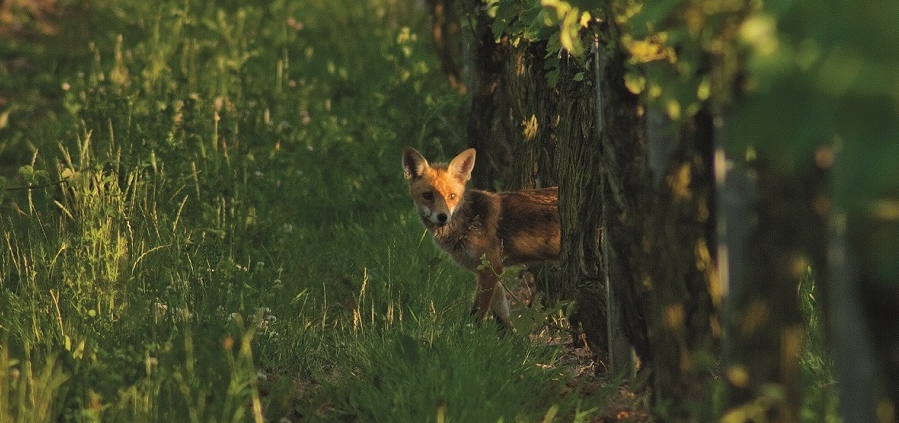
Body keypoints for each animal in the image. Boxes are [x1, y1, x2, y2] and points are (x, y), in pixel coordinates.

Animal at [402, 147, 560, 330]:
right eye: (427, 195)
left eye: (452, 196)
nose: (442, 217)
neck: (467, 222)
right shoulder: (493, 271)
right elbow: (502, 320)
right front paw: (510, 338)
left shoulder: (489, 269)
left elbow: (477, 314)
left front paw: (466, 336)